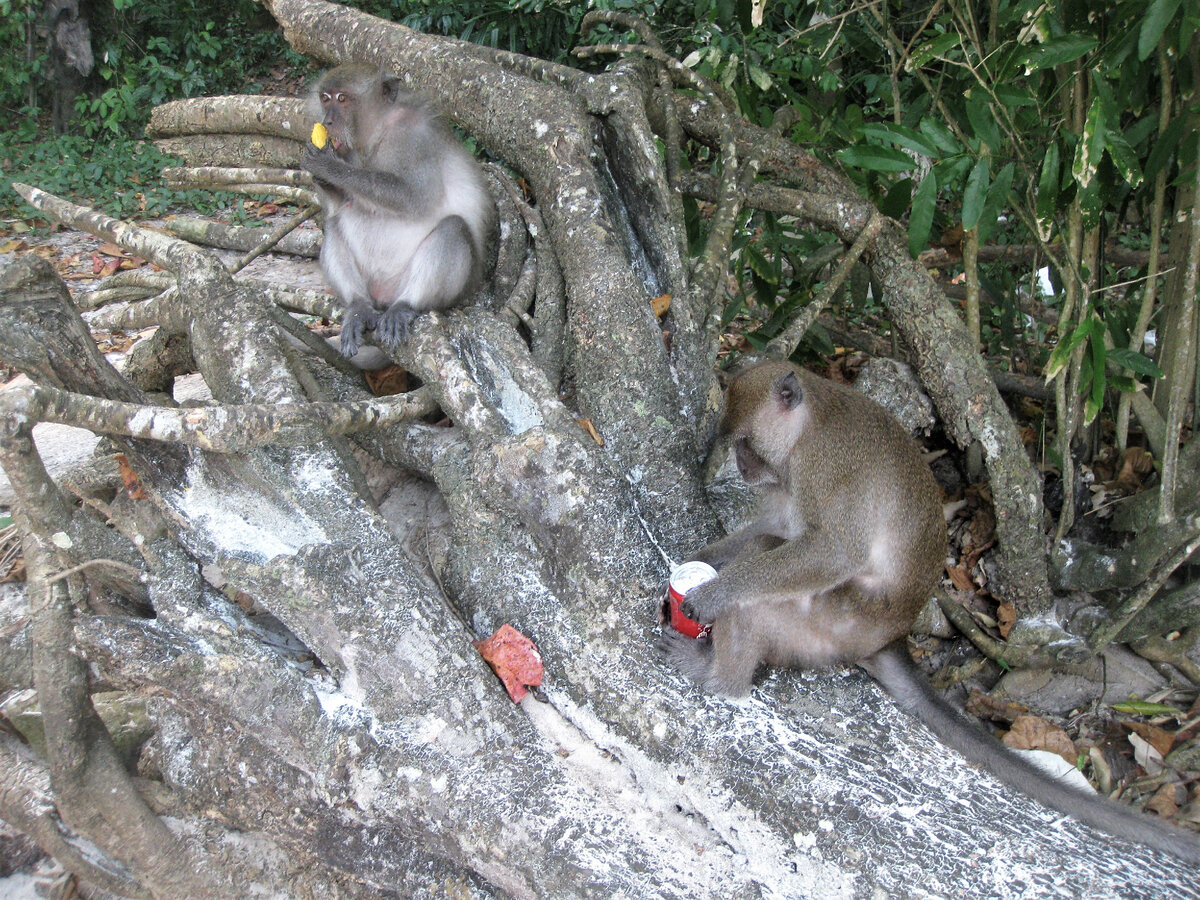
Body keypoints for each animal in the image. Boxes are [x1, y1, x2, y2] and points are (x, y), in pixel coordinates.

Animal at [302, 65, 494, 360]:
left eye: (343, 99)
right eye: (325, 98)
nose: (328, 121)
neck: (377, 132)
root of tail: (385, 297)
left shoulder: (412, 137)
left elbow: (414, 197)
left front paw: (328, 166)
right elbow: (341, 206)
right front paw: (323, 177)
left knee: (453, 227)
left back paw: (406, 304)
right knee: (334, 224)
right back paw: (358, 306)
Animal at [667, 360, 1200, 868]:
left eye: (745, 444)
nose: (741, 466)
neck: (809, 422)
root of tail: (889, 638)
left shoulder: (825, 470)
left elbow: (830, 553)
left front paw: (710, 596)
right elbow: (775, 526)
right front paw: (700, 562)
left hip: (830, 624)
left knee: (765, 587)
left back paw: (718, 676)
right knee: (764, 544)